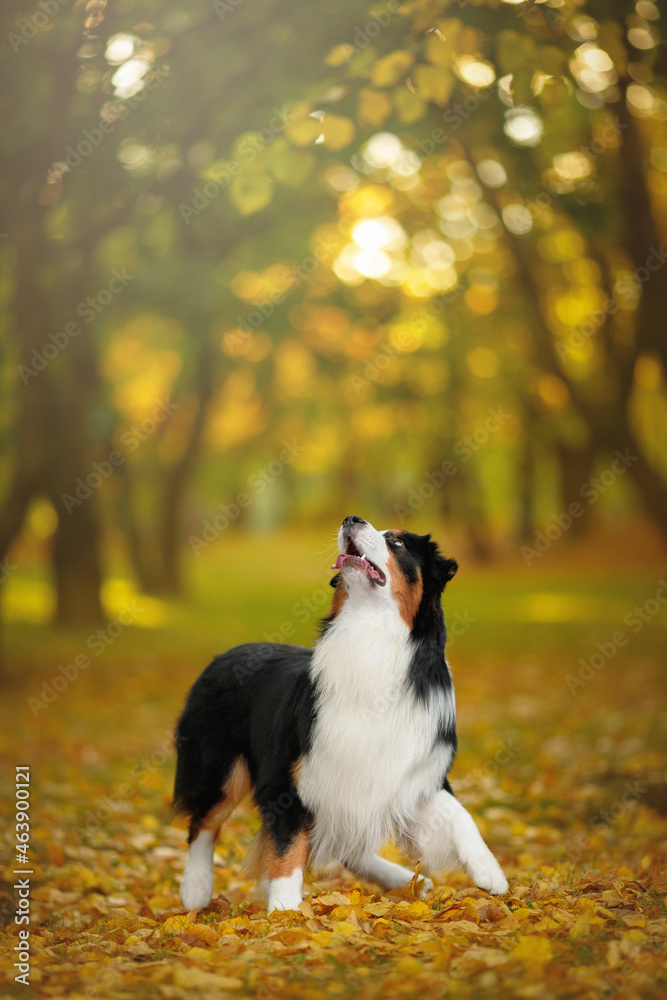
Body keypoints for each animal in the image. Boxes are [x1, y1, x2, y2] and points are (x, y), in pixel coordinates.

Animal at [171, 516, 506, 916]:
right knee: (203, 824)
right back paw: (195, 888)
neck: (369, 634)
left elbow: (459, 814)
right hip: (218, 767)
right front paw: (284, 910)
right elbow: (287, 849)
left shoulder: (416, 769)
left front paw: (491, 872)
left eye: (397, 543)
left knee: (351, 847)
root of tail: (224, 654)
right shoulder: (287, 779)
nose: (351, 518)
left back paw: (405, 879)